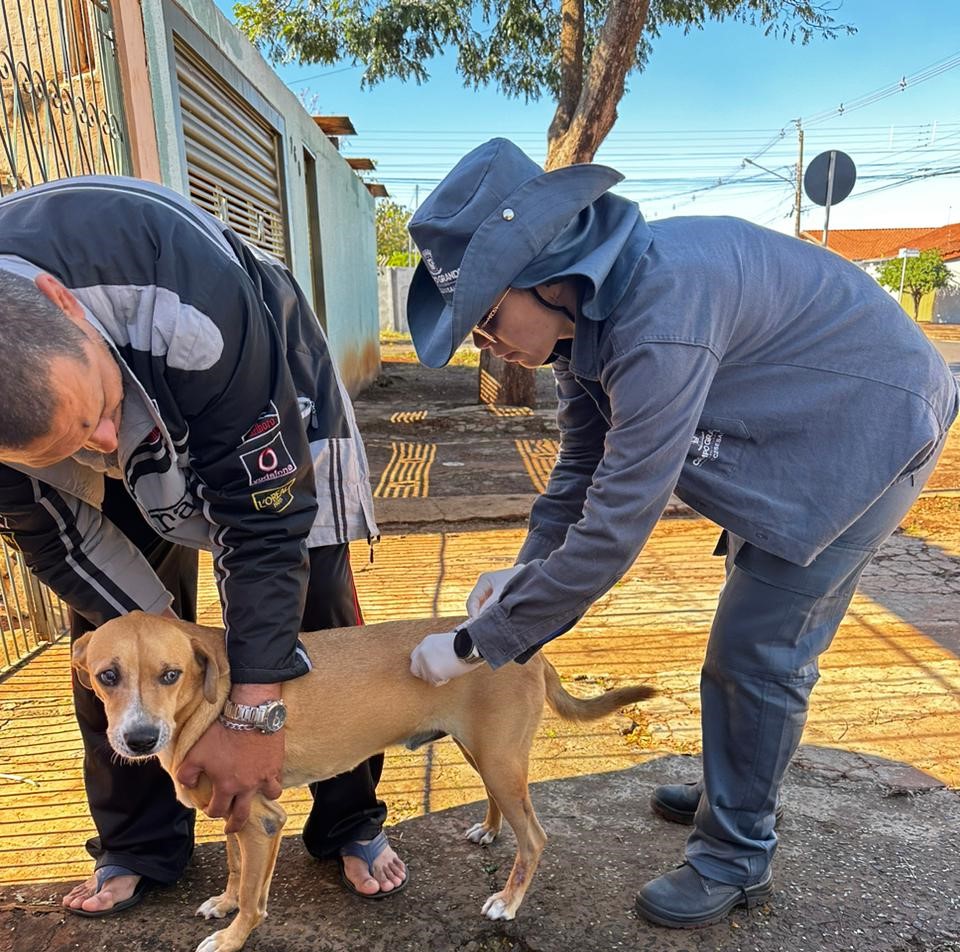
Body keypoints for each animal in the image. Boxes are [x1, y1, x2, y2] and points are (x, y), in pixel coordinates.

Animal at [71, 612, 656, 948]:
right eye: (107, 676)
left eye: (170, 675)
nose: (139, 739)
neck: (211, 704)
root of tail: (527, 650)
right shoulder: (235, 810)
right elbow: (236, 868)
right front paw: (226, 901)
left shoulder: (264, 819)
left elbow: (258, 900)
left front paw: (232, 936)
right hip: (485, 753)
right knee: (502, 807)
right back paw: (490, 830)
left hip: (499, 758)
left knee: (534, 836)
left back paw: (507, 902)